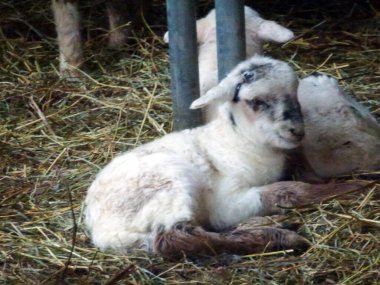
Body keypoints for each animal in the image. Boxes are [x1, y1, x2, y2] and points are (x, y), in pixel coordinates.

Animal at [84, 55, 362, 258]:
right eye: (255, 101)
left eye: (295, 94)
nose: (296, 131)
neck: (238, 141)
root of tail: (99, 229)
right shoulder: (227, 201)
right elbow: (287, 191)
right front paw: (356, 186)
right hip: (166, 185)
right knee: (172, 238)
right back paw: (277, 237)